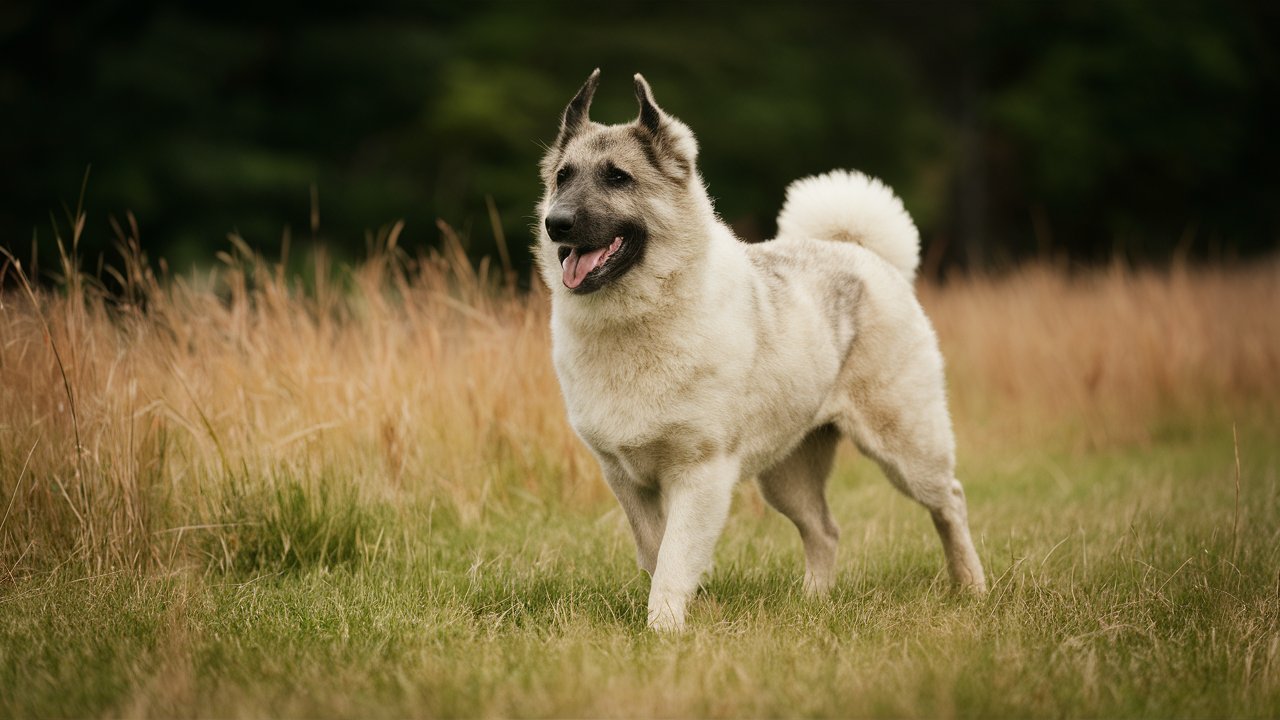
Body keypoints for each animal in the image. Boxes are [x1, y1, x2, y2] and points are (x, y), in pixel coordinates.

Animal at [535, 67, 983, 627]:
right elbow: (656, 551)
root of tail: (861, 253)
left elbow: (674, 557)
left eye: (618, 178)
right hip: (787, 477)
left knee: (950, 503)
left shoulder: (699, 475)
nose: (556, 222)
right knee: (824, 530)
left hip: (907, 449)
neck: (640, 314)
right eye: (563, 177)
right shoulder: (626, 480)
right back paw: (813, 602)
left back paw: (971, 586)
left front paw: (663, 629)